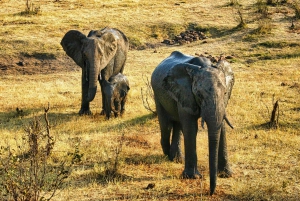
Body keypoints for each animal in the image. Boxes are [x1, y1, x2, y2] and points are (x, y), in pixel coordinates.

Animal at [151, 51, 236, 196]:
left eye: (225, 92)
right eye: (199, 95)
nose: (211, 192)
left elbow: (221, 126)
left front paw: (226, 175)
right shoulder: (186, 93)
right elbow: (191, 128)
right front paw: (192, 177)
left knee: (177, 125)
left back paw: (177, 159)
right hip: (157, 94)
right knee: (166, 125)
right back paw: (169, 156)